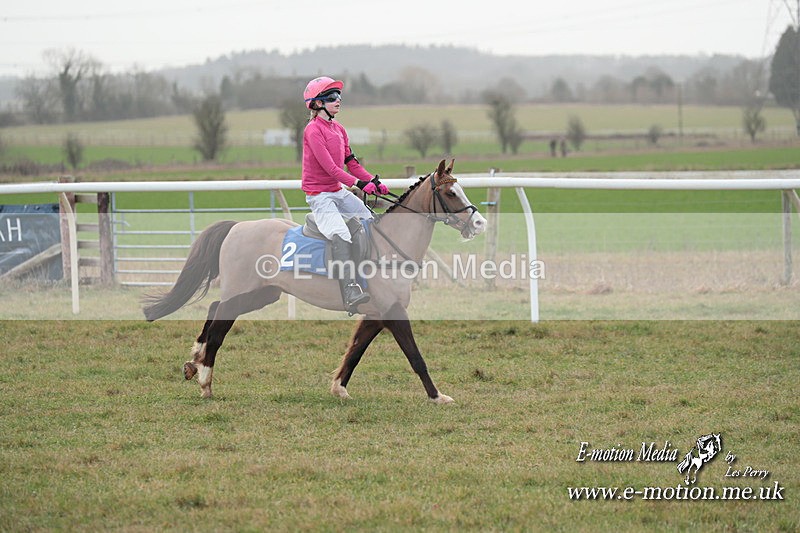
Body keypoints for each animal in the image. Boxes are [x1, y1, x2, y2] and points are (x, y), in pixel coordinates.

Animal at [143, 159, 487, 403]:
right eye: (450, 193)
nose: (479, 222)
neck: (388, 246)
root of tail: (237, 226)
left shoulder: (375, 314)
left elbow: (355, 351)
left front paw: (339, 388)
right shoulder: (393, 312)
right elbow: (416, 357)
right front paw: (437, 396)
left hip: (262, 294)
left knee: (214, 307)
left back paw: (195, 360)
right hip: (245, 292)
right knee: (218, 327)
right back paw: (205, 380)